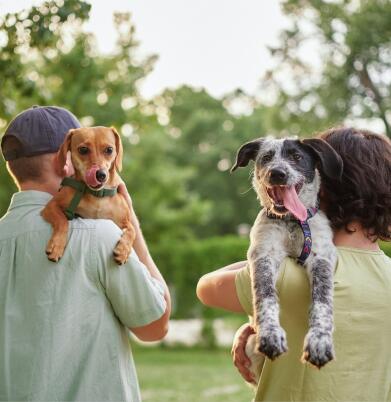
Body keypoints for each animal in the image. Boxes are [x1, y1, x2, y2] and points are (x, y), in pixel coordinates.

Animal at [233, 137, 344, 370]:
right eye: (266, 157)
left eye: (297, 156)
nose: (277, 173)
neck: (292, 222)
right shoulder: (264, 255)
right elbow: (265, 296)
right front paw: (271, 335)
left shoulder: (321, 257)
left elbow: (322, 301)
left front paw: (319, 342)